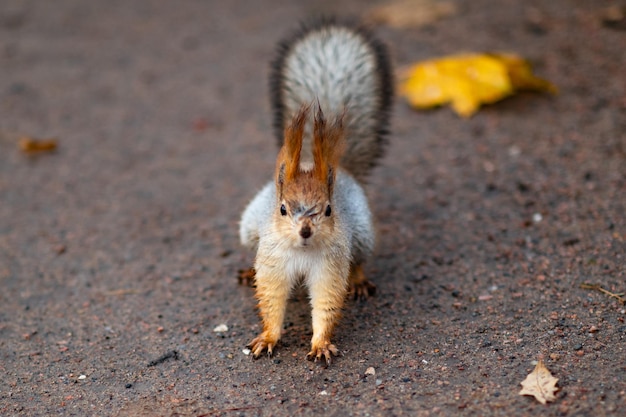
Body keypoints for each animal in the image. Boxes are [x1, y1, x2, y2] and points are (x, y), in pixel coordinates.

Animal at [238, 18, 390, 364]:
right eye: (282, 208)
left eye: (329, 209)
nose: (306, 230)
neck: (302, 252)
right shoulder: (272, 260)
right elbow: (271, 299)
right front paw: (268, 337)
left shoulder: (330, 266)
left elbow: (326, 301)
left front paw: (320, 343)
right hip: (249, 227)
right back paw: (246, 271)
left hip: (362, 233)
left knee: (359, 259)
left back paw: (359, 281)